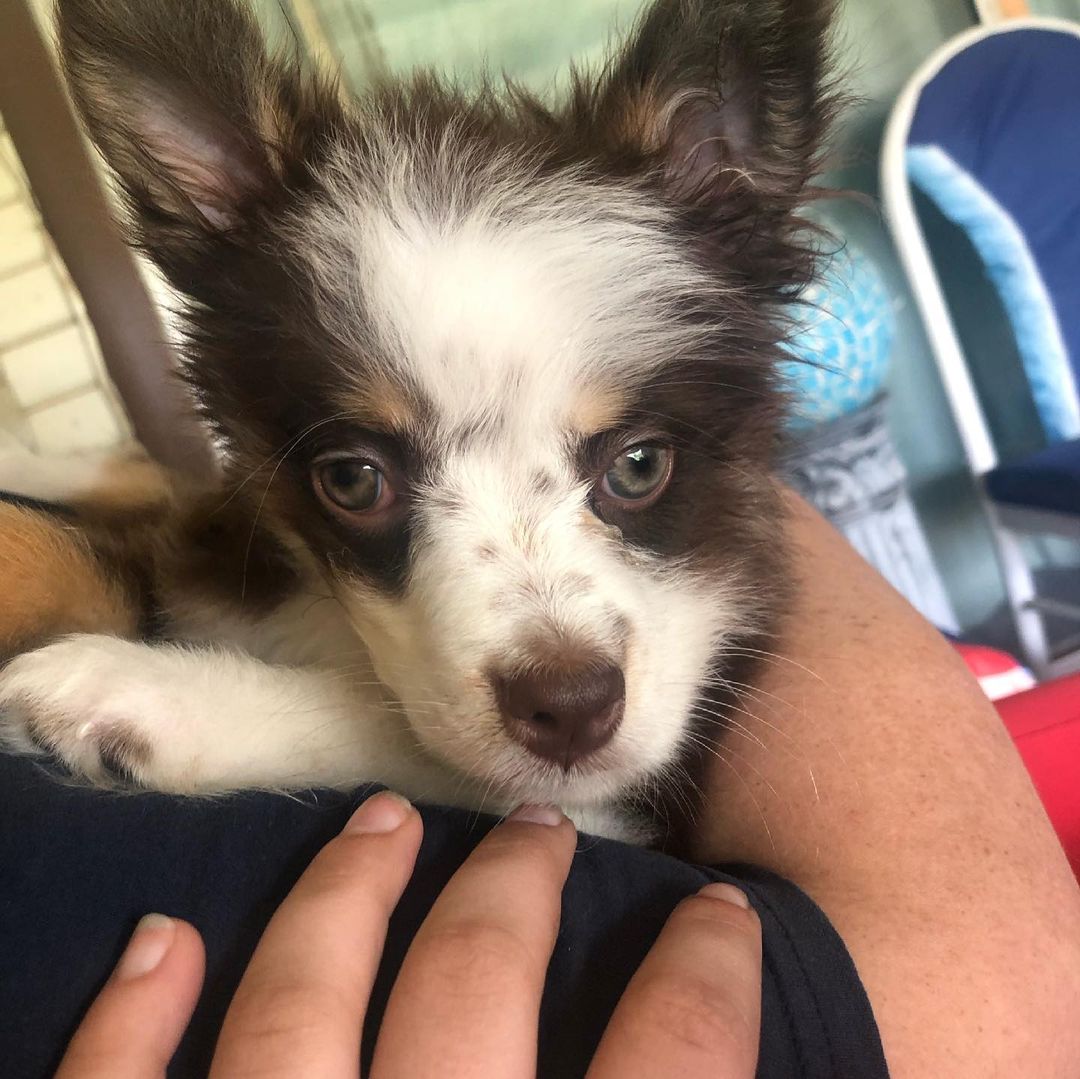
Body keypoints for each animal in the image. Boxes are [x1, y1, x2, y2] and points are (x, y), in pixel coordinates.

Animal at [0, 0, 833, 842]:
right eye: (351, 479)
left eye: (638, 465)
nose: (569, 710)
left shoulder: (611, 808)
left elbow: (391, 723)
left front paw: (140, 692)